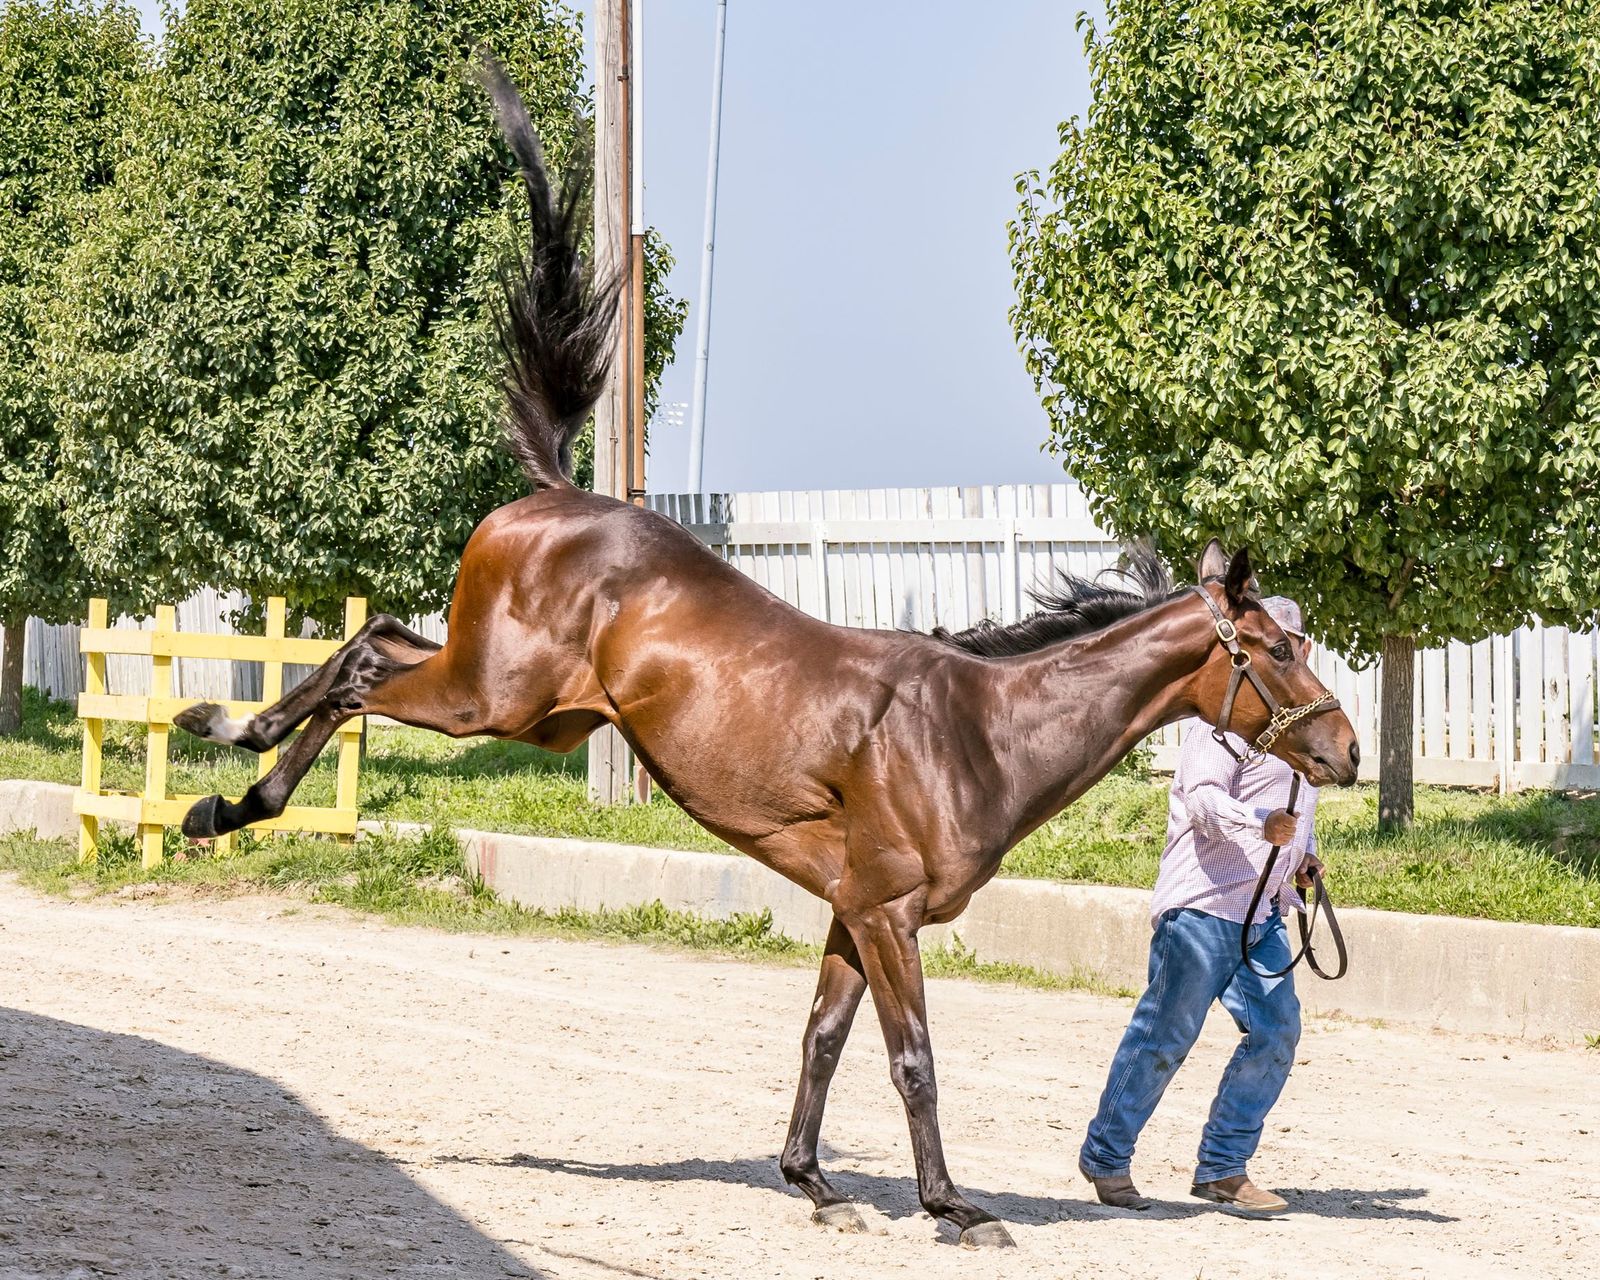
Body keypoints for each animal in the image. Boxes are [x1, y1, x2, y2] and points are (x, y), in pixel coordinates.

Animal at [172, 61, 1361, 1248]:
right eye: (1272, 647)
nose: (1343, 750)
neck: (976, 729)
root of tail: (555, 494)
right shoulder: (888, 915)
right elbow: (913, 1059)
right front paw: (951, 1204)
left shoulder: (849, 909)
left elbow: (823, 1039)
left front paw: (815, 1181)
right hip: (487, 698)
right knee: (363, 668)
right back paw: (228, 777)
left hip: (529, 706)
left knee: (372, 644)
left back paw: (228, 781)